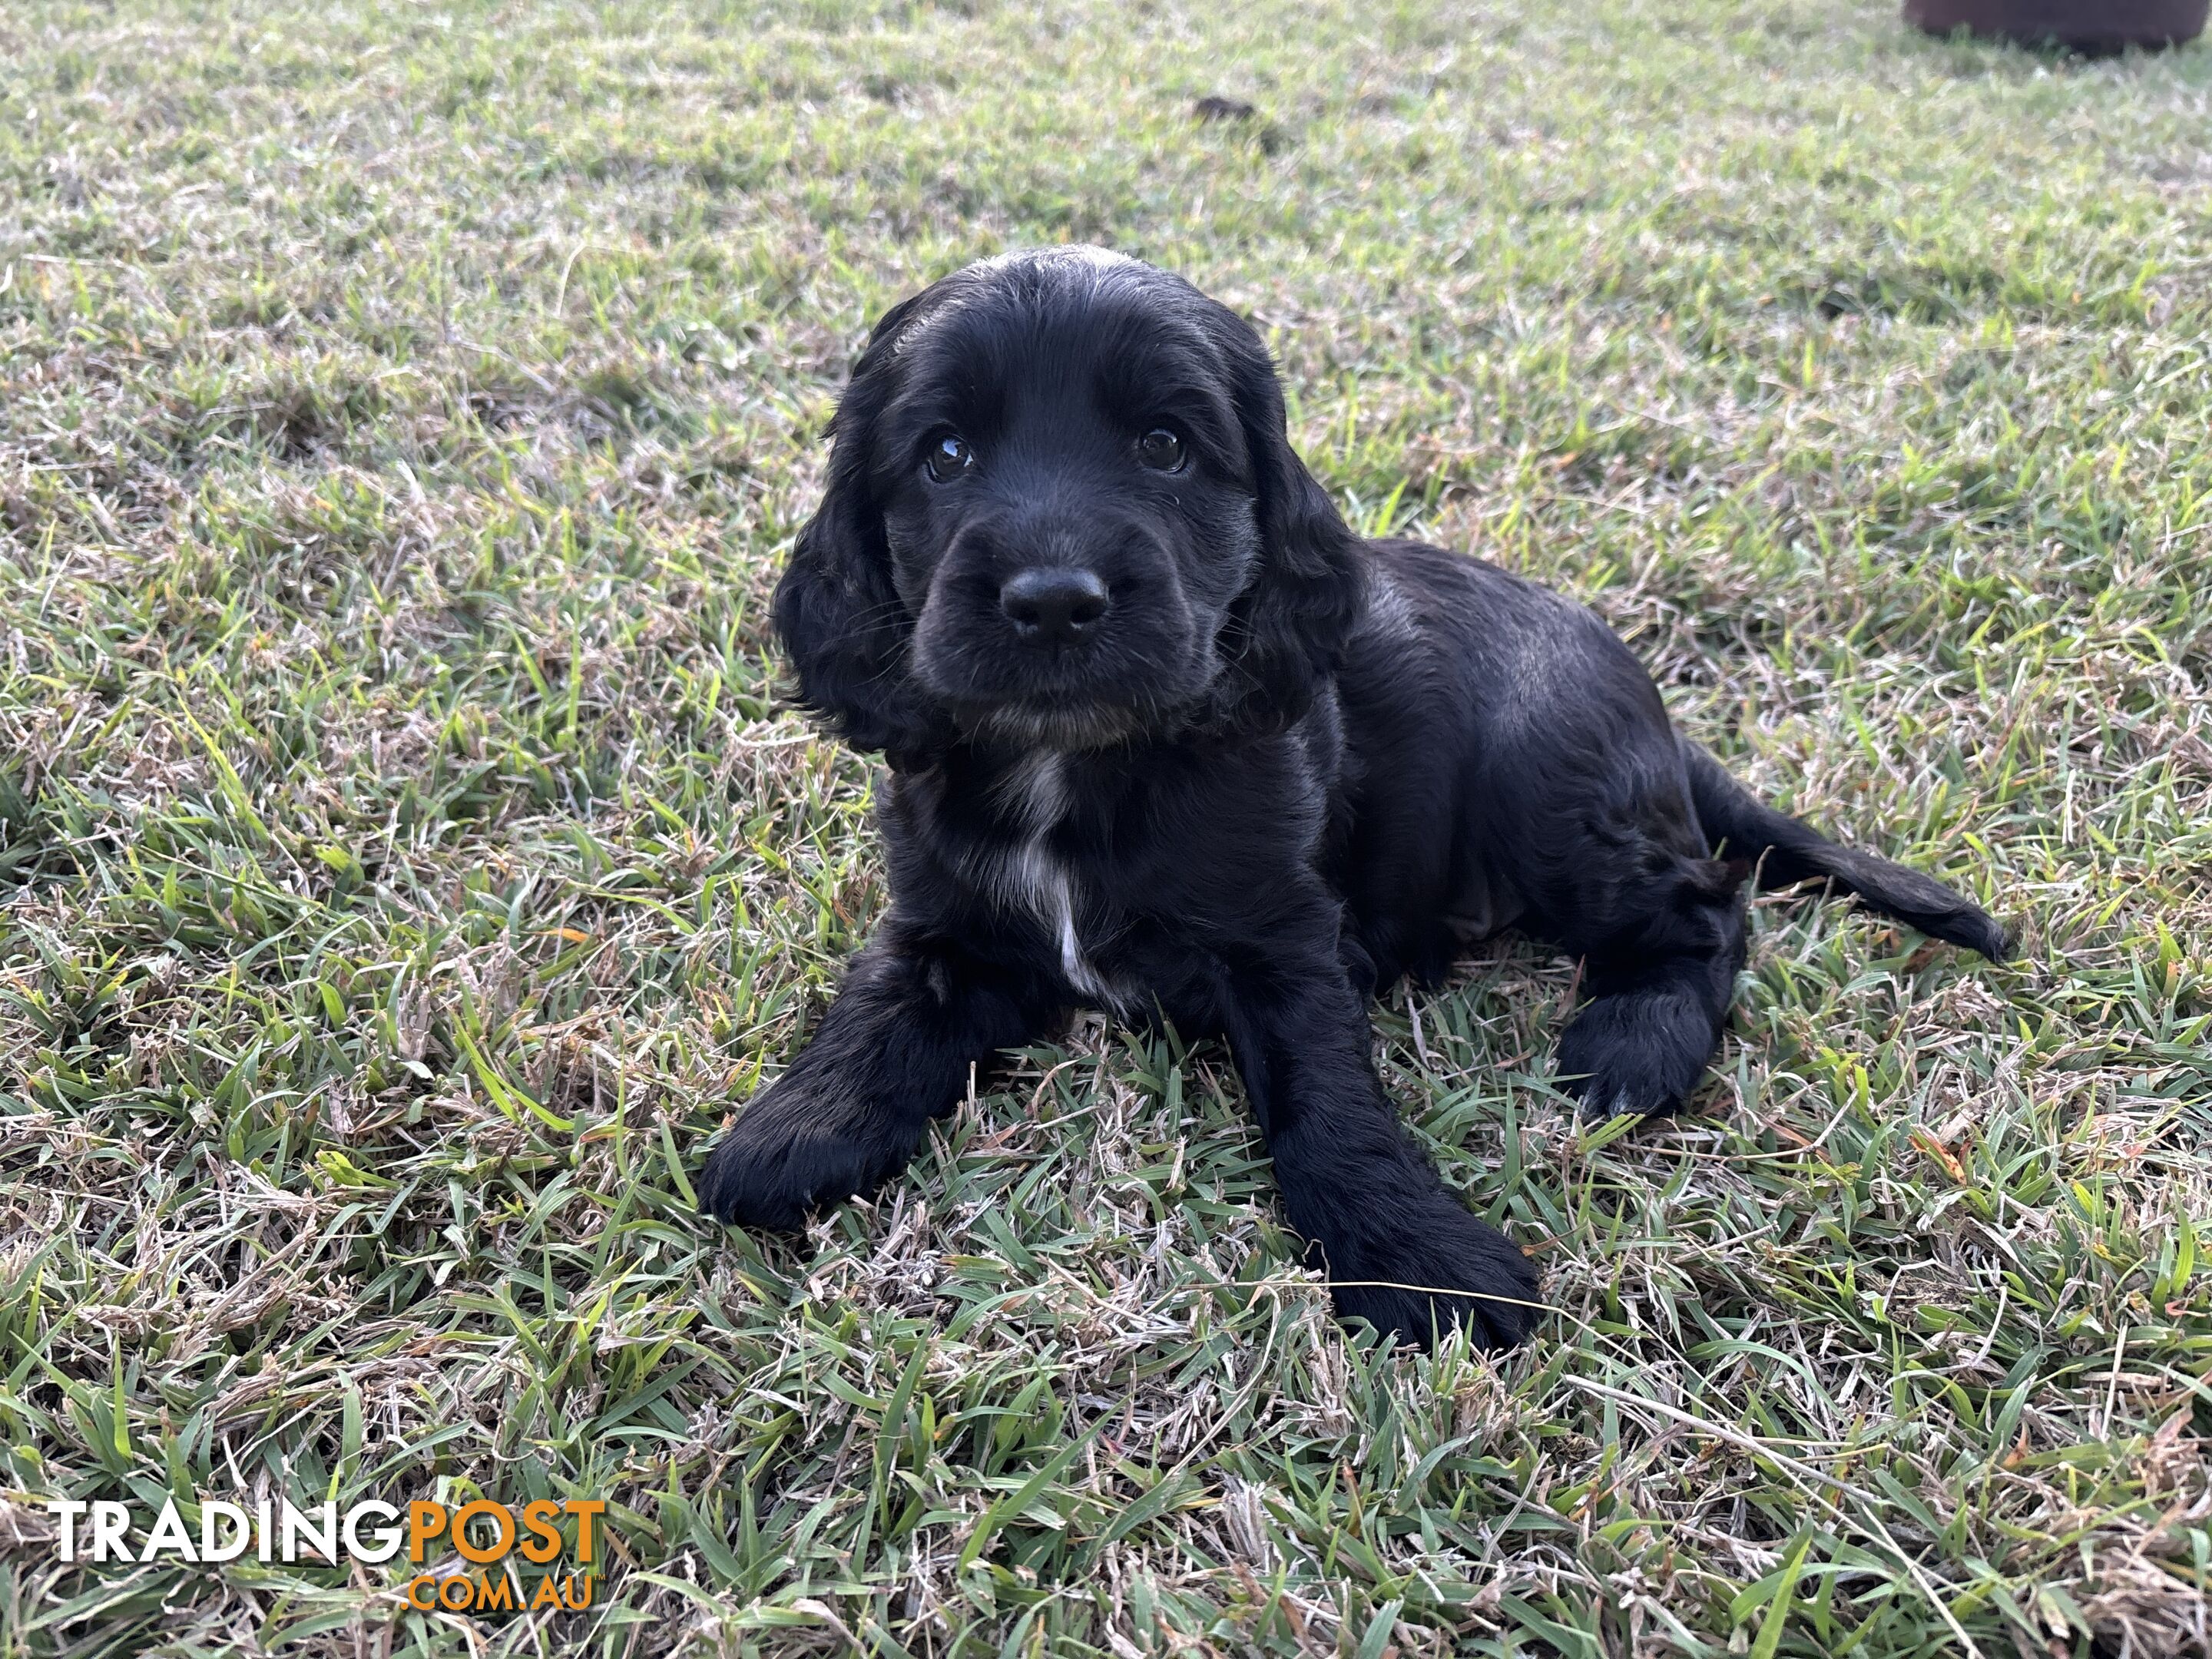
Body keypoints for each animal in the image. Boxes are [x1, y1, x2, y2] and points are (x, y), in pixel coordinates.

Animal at [703, 247, 2008, 1353]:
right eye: (944, 456)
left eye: (1165, 446)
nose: (1054, 600)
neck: (1074, 764)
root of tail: (1657, 718)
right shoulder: (946, 919)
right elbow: (880, 1010)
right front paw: (792, 1134)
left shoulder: (1285, 942)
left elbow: (1326, 1101)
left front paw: (1416, 1258)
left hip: (1548, 793)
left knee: (1710, 904)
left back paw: (1633, 1047)